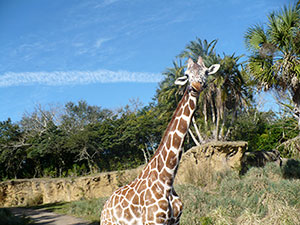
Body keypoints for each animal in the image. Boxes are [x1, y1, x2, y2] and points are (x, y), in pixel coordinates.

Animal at [101, 56, 220, 225]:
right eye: (187, 74)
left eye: (205, 71)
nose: (196, 86)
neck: (167, 180)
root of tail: (105, 207)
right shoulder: (153, 221)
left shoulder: (175, 221)